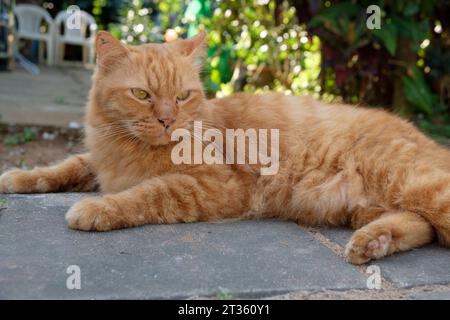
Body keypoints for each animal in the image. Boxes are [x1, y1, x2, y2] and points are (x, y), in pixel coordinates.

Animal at [0, 31, 450, 264]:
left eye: (182, 96)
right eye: (142, 94)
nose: (167, 120)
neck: (126, 149)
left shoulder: (215, 186)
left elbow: (146, 194)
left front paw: (95, 208)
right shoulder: (97, 161)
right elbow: (64, 167)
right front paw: (19, 176)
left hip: (413, 184)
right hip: (366, 206)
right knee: (420, 226)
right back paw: (373, 243)